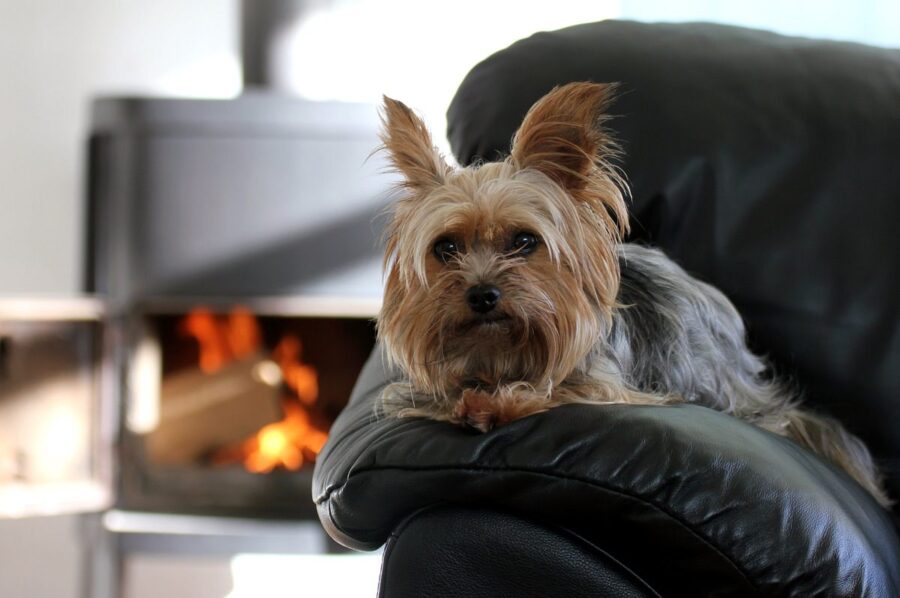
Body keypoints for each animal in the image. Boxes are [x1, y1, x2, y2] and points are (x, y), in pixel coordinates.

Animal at [374, 82, 892, 508]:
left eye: (524, 241)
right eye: (446, 248)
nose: (483, 294)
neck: (500, 352)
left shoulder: (607, 384)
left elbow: (559, 389)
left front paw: (496, 403)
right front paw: (471, 398)